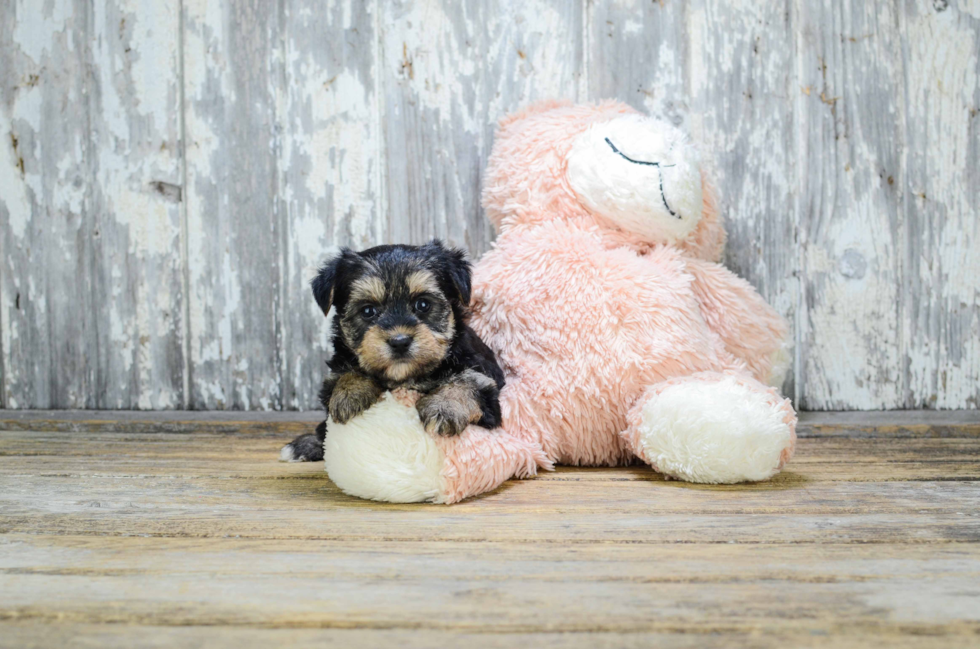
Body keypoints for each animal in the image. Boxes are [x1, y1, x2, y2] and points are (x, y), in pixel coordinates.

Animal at [278, 239, 502, 460]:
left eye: (423, 304)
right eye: (368, 310)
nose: (400, 341)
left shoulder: (486, 382)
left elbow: (469, 380)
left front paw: (445, 406)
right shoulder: (334, 374)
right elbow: (345, 372)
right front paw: (349, 393)